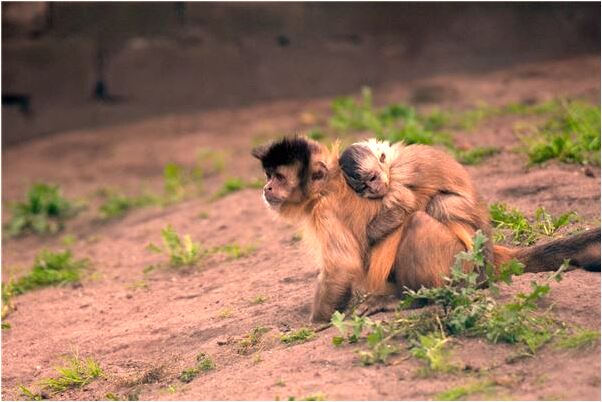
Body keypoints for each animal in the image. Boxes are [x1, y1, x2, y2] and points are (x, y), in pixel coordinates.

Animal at [252, 137, 600, 322]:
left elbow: (342, 266)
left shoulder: (325, 213)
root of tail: (489, 254)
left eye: (279, 178)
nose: (266, 188)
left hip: (463, 261)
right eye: (269, 176)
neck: (325, 187)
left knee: (418, 222)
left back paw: (418, 299)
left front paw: (317, 324)